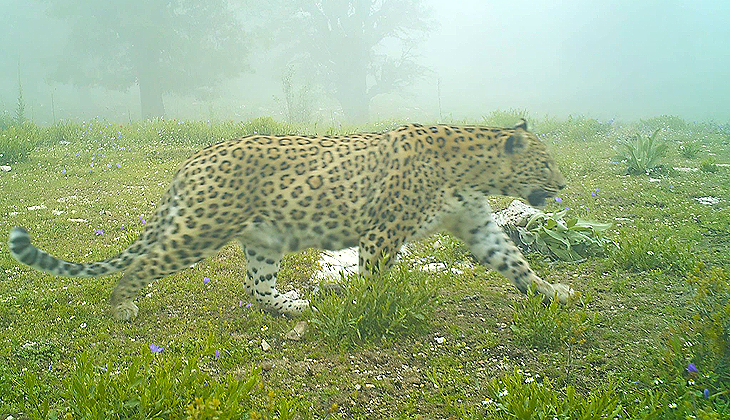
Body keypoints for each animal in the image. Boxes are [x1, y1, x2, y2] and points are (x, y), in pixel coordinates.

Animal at [7, 119, 576, 322]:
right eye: (546, 164)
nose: (564, 186)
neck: (476, 171)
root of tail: (192, 160)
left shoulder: (477, 225)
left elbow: (515, 261)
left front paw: (551, 292)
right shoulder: (382, 232)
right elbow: (375, 277)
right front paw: (369, 309)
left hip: (263, 238)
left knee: (256, 286)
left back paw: (291, 305)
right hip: (200, 227)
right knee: (141, 265)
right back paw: (123, 307)